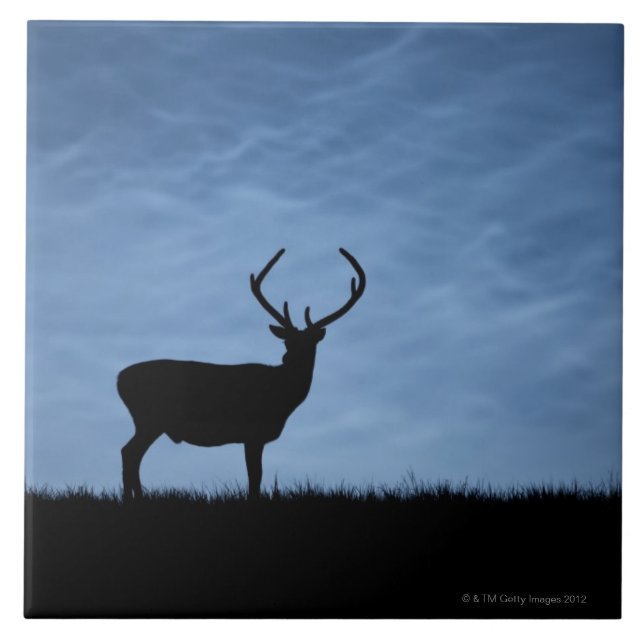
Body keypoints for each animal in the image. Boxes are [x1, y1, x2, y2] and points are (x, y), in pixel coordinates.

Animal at [117, 248, 366, 501]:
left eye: (310, 344)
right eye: (287, 342)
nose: (287, 358)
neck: (282, 397)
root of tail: (119, 379)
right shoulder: (252, 432)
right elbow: (255, 477)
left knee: (131, 453)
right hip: (151, 417)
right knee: (129, 452)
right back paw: (134, 499)